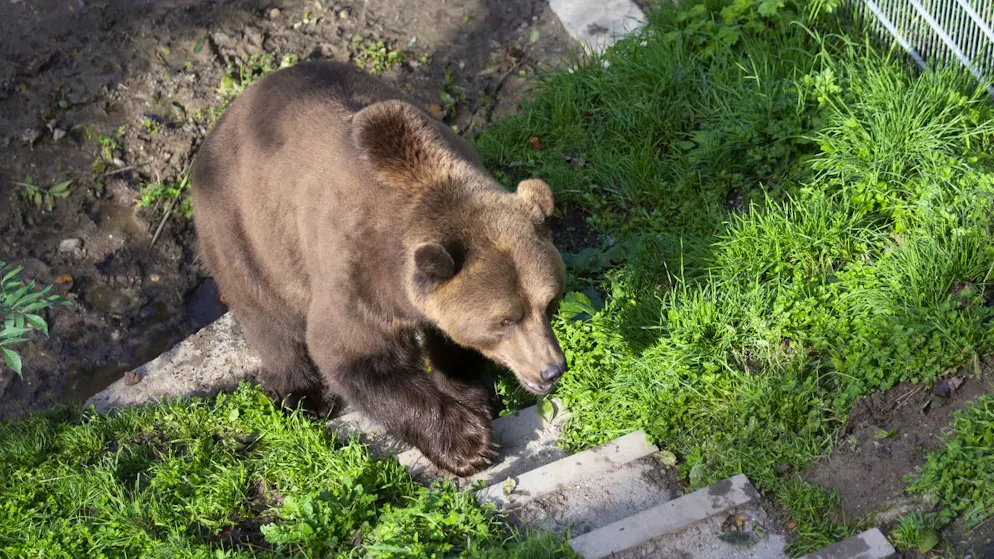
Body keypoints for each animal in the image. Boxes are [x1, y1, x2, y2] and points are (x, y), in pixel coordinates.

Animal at [189, 60, 568, 476]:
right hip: (246, 233)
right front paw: (469, 443)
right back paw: (302, 394)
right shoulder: (356, 274)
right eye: (505, 320)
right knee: (268, 316)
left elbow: (449, 341)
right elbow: (357, 358)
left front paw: (472, 396)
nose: (551, 370)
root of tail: (222, 121)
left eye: (549, 303)